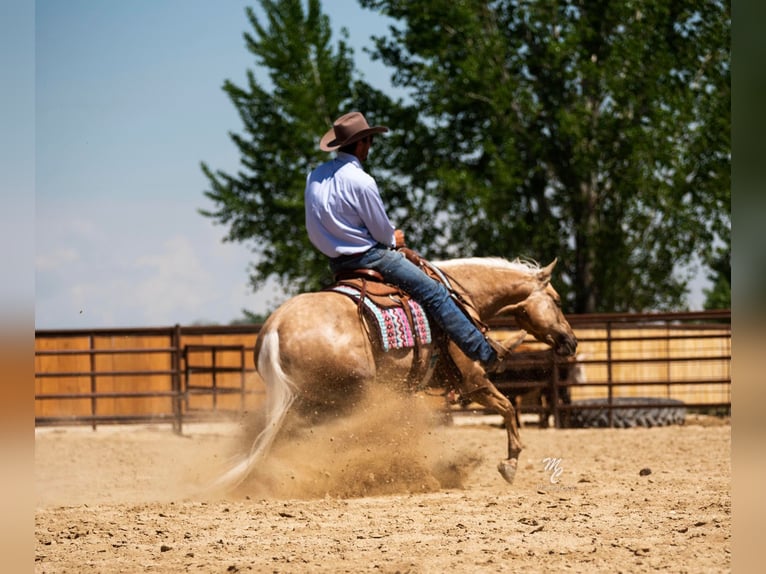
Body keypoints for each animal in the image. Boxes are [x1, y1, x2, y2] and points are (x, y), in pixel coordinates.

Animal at [214, 258, 576, 492]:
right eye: (557, 300)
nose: (571, 341)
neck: (461, 297)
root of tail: (276, 328)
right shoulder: (474, 381)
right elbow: (508, 409)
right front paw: (510, 464)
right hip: (346, 395)